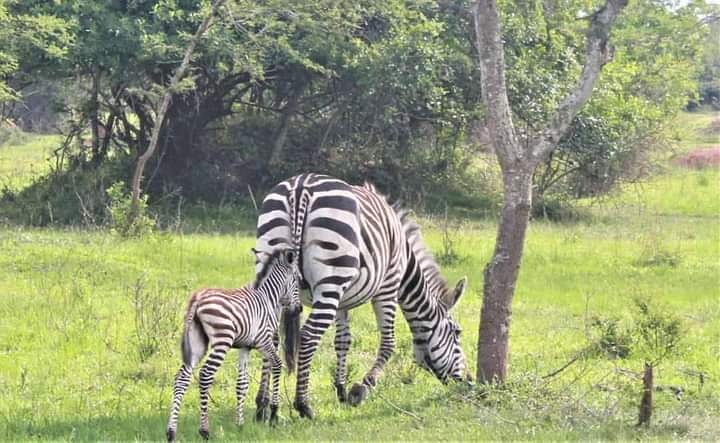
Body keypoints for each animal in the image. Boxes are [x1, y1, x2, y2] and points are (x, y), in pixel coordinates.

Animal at [166, 248, 300, 442]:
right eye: (296, 280)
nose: (299, 309)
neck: (268, 297)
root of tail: (198, 298)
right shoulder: (264, 341)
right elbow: (277, 364)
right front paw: (274, 415)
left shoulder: (245, 347)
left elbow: (242, 384)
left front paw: (240, 425)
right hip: (222, 340)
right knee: (205, 375)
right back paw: (204, 431)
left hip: (197, 342)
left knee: (181, 377)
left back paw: (171, 432)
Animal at [254, 173, 469, 419]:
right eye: (457, 333)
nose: (469, 382)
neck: (406, 264)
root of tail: (301, 187)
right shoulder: (388, 286)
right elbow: (389, 343)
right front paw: (361, 389)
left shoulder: (342, 301)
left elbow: (343, 340)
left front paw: (341, 389)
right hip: (331, 277)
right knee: (308, 335)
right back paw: (303, 405)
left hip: (274, 265)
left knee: (270, 335)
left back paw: (263, 406)